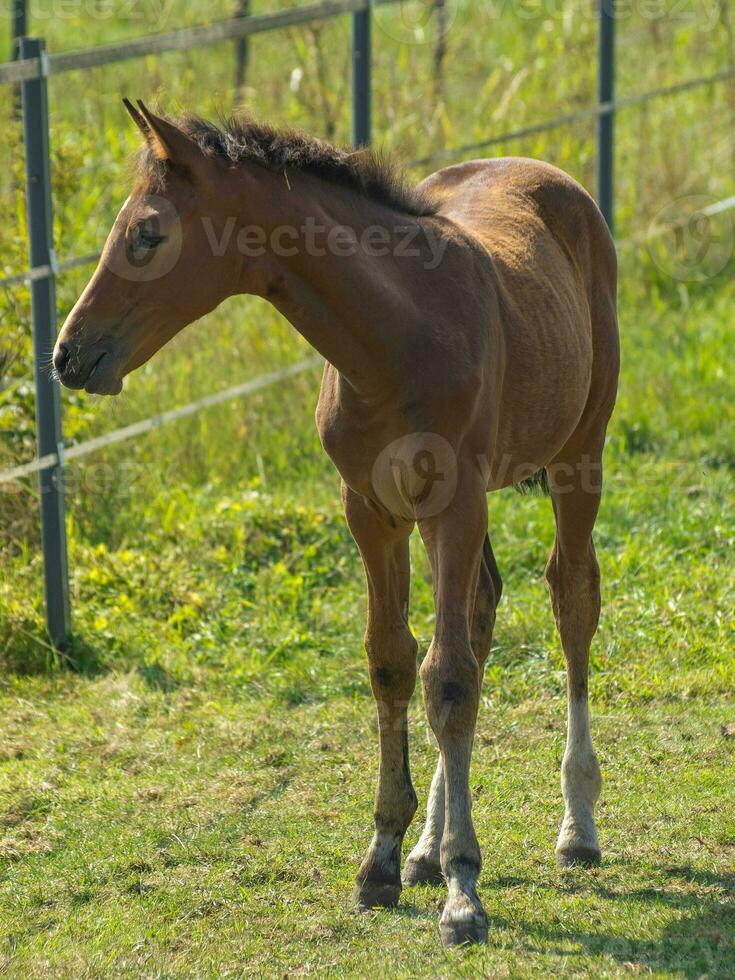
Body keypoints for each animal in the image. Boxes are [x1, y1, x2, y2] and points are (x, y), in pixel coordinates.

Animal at [51, 103, 620, 944]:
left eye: (148, 233)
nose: (67, 354)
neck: (396, 336)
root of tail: (546, 174)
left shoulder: (456, 502)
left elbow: (447, 676)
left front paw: (463, 888)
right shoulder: (369, 510)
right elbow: (395, 663)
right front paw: (385, 857)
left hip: (579, 455)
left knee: (570, 599)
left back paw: (576, 825)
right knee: (481, 613)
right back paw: (425, 850)